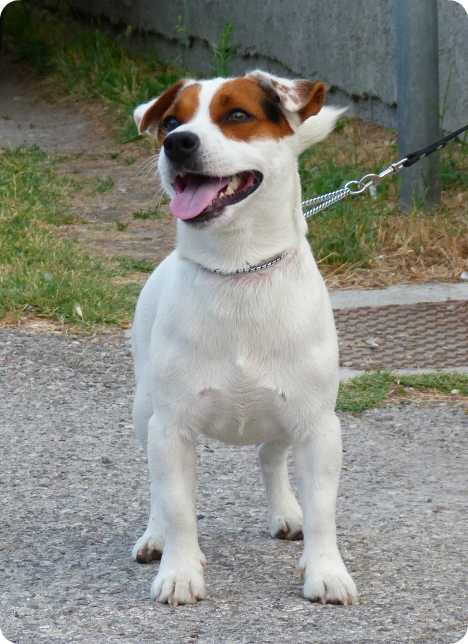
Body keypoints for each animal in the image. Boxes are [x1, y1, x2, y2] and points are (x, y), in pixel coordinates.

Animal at [130, 71, 356, 608]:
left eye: (237, 115)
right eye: (170, 120)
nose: (177, 142)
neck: (239, 270)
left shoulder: (319, 428)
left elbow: (323, 511)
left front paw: (326, 572)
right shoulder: (171, 429)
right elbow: (178, 507)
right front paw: (180, 572)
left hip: (282, 416)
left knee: (270, 457)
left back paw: (287, 513)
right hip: (144, 411)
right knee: (156, 486)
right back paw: (154, 536)